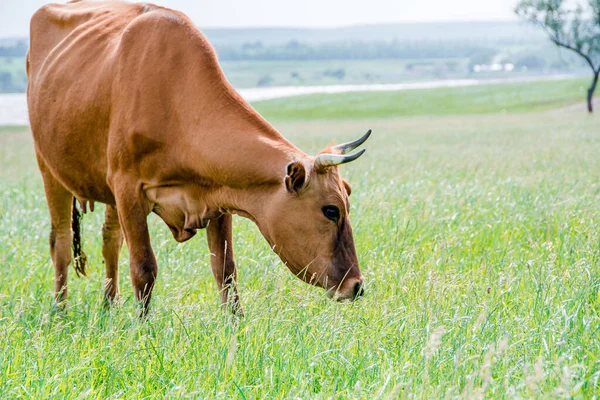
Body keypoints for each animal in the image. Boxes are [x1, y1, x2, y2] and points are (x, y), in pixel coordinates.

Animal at [28, 0, 370, 314]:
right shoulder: (127, 190)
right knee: (60, 242)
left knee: (109, 240)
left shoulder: (219, 196)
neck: (176, 102)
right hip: (49, 170)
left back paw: (109, 306)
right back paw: (59, 310)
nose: (356, 286)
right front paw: (142, 328)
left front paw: (235, 324)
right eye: (331, 211)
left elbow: (226, 269)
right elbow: (143, 267)